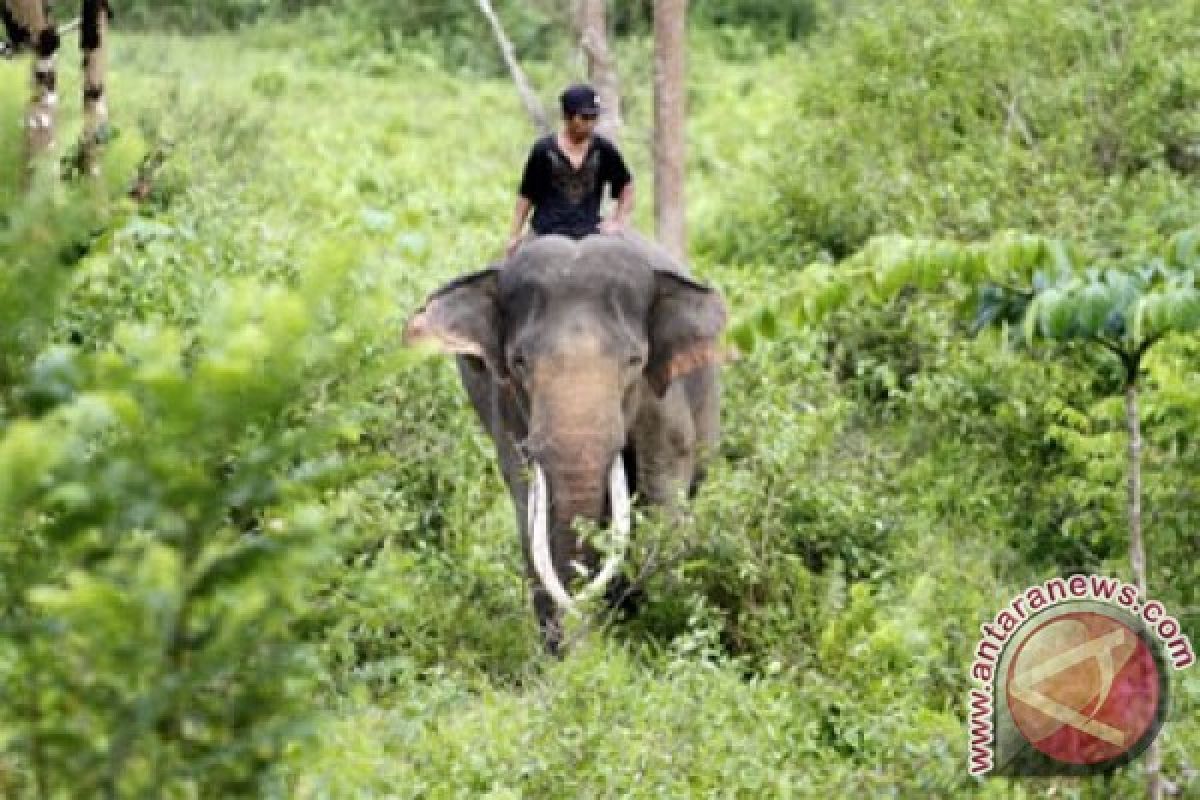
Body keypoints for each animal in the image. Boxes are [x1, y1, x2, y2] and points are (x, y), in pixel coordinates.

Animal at [403, 235, 724, 652]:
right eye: (518, 361)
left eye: (635, 360)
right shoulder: (506, 405)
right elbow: (532, 512)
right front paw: (572, 655)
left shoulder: (663, 398)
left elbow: (662, 495)